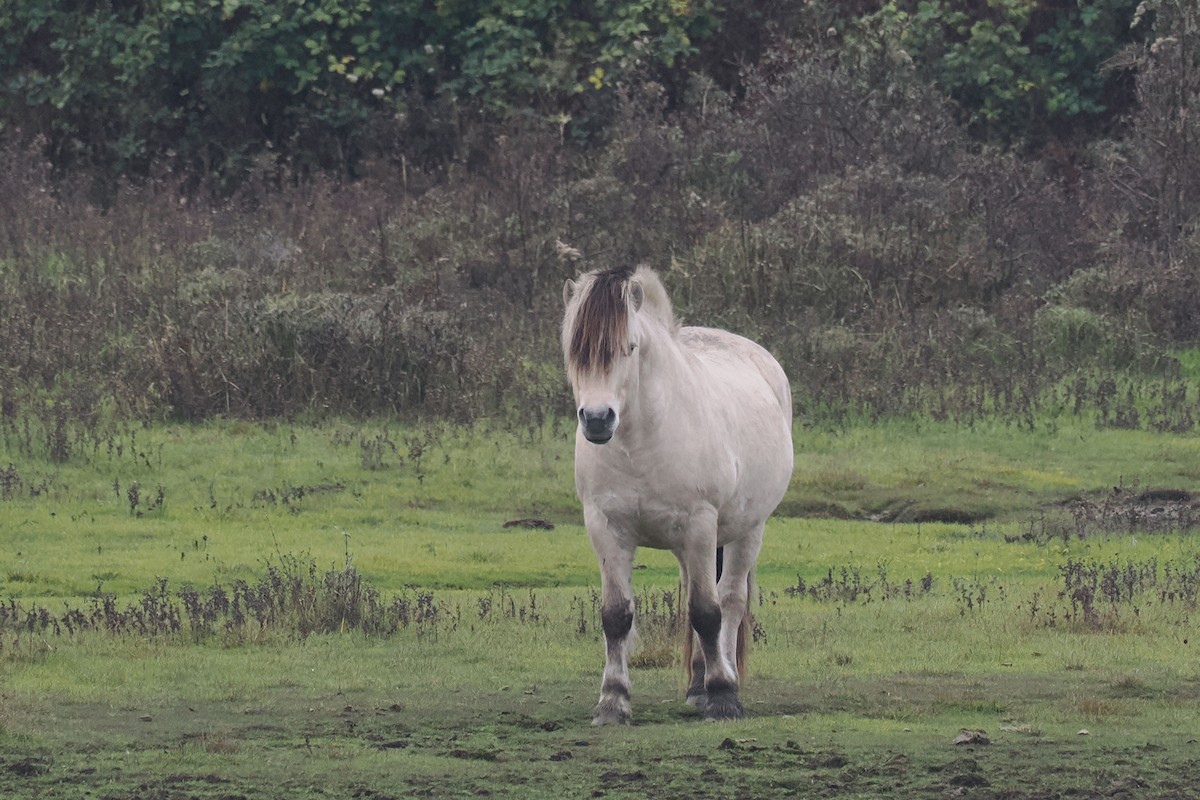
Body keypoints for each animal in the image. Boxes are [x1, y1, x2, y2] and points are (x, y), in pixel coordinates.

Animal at [561, 265, 794, 723]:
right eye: (574, 350)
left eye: (630, 348)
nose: (597, 420)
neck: (641, 442)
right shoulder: (604, 527)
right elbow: (616, 615)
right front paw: (612, 702)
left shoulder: (700, 524)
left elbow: (707, 612)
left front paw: (724, 697)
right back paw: (697, 685)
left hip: (746, 530)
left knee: (730, 601)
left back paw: (720, 682)